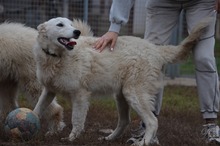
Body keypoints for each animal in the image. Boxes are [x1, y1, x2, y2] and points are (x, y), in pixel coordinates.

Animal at [33, 16, 210, 145]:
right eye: (60, 25)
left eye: (71, 24)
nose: (76, 32)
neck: (57, 57)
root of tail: (156, 49)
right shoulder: (49, 91)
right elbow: (36, 110)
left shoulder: (80, 95)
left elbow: (76, 120)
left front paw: (71, 139)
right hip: (121, 96)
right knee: (125, 121)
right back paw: (110, 138)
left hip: (134, 94)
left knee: (152, 121)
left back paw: (143, 142)